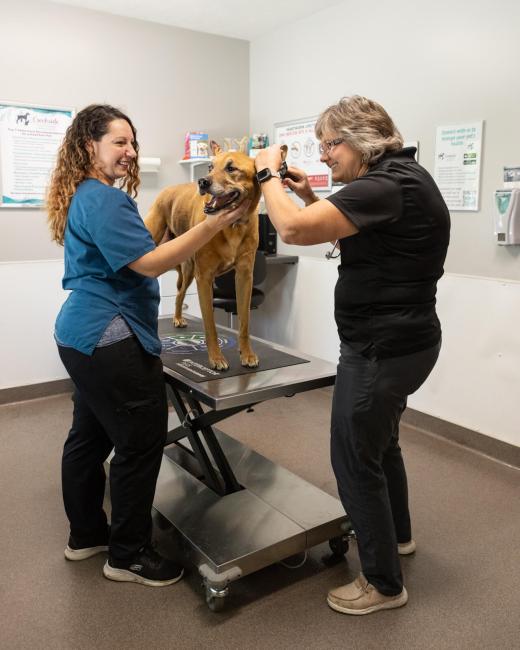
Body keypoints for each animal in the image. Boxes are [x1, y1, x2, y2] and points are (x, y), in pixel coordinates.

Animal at [143, 147, 260, 370]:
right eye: (210, 167)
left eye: (231, 168)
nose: (202, 182)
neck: (233, 226)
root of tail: (166, 190)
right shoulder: (204, 277)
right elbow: (210, 325)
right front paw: (216, 358)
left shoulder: (245, 276)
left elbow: (245, 322)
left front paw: (247, 354)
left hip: (188, 270)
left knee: (179, 295)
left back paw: (178, 317)